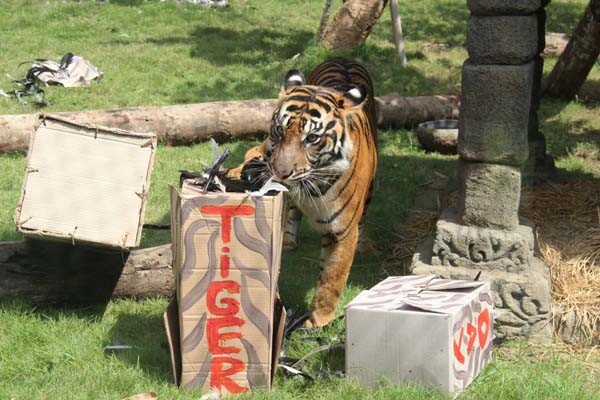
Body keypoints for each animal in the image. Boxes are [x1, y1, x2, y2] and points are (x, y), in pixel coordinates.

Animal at [227, 59, 378, 328]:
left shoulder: (342, 231)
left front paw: (318, 321)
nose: (280, 172)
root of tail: (344, 58)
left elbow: (331, 278)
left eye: (312, 138)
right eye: (279, 130)